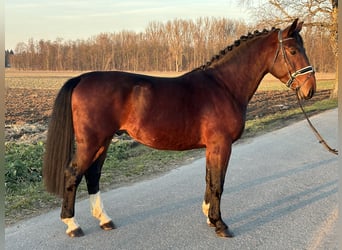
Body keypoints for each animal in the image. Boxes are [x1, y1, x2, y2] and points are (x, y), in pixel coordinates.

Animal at [42, 20, 316, 238]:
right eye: (293, 50)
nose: (310, 89)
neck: (223, 86)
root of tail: (82, 78)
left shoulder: (212, 147)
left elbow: (209, 179)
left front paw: (209, 217)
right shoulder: (221, 145)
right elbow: (218, 183)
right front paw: (220, 224)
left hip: (104, 141)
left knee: (93, 175)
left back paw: (104, 220)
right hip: (92, 141)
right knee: (73, 174)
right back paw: (72, 225)